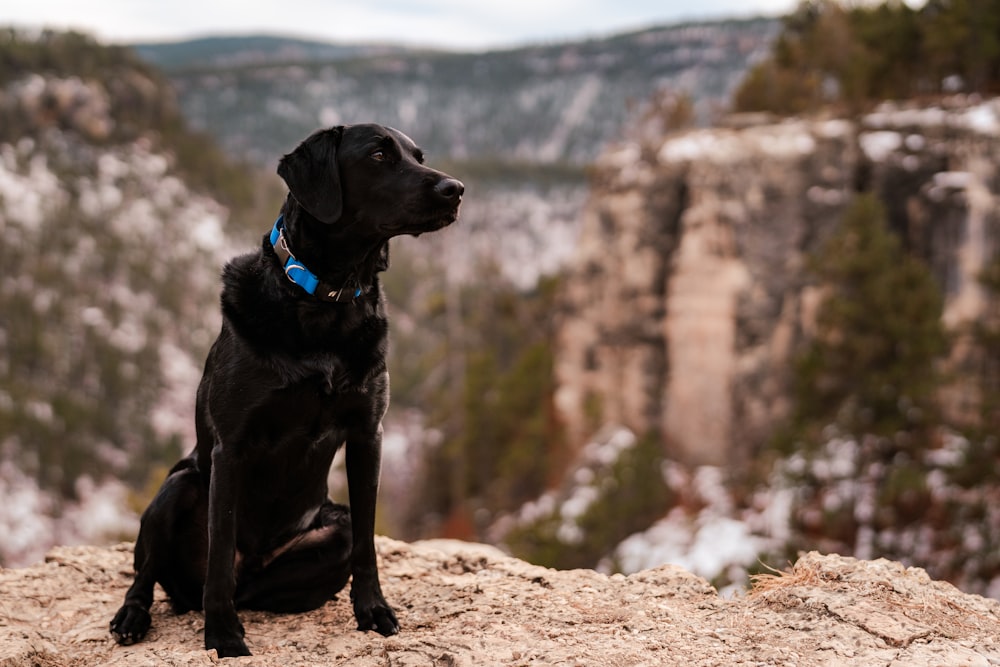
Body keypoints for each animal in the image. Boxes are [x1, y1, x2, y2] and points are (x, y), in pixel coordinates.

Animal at [110, 124, 464, 656]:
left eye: (419, 156)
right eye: (379, 155)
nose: (455, 189)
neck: (325, 299)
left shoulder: (368, 434)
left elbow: (367, 542)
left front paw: (373, 610)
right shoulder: (231, 447)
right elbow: (219, 550)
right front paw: (222, 634)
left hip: (330, 528)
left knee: (261, 584)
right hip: (179, 484)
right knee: (152, 573)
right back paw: (134, 616)